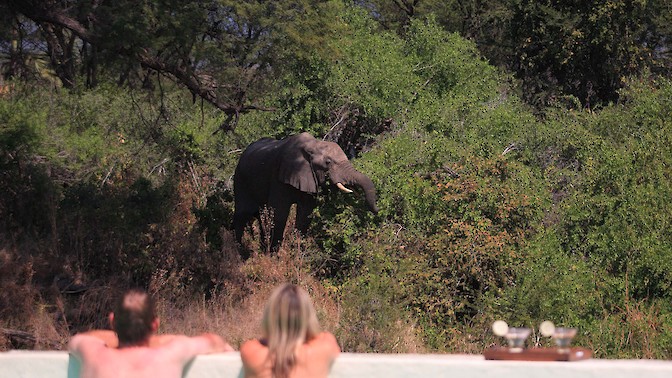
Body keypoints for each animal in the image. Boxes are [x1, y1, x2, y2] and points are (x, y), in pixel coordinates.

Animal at [234, 131, 376, 255]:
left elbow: (305, 214)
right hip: (240, 178)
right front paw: (273, 256)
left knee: (260, 215)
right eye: (328, 162)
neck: (313, 145)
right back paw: (241, 254)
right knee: (242, 214)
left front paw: (297, 254)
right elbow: (279, 214)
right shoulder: (278, 177)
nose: (376, 211)